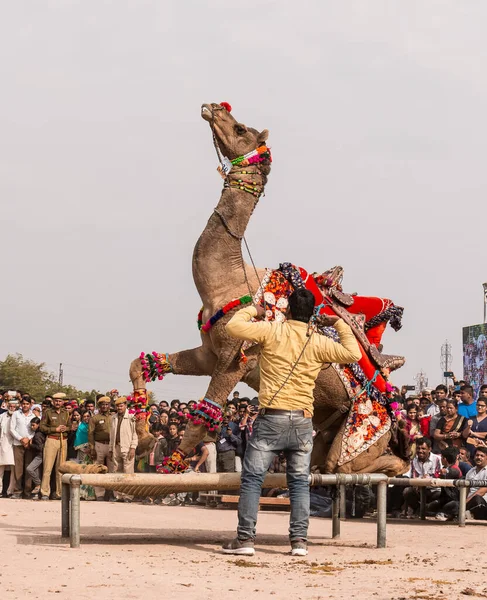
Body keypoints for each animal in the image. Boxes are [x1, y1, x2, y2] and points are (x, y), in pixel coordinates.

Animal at [131, 104, 412, 478]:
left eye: (239, 127)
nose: (212, 107)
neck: (226, 281)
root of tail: (391, 403)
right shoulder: (210, 353)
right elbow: (142, 363)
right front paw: (145, 437)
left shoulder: (235, 359)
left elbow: (204, 416)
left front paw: (170, 465)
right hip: (328, 430)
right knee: (332, 460)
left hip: (361, 437)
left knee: (361, 463)